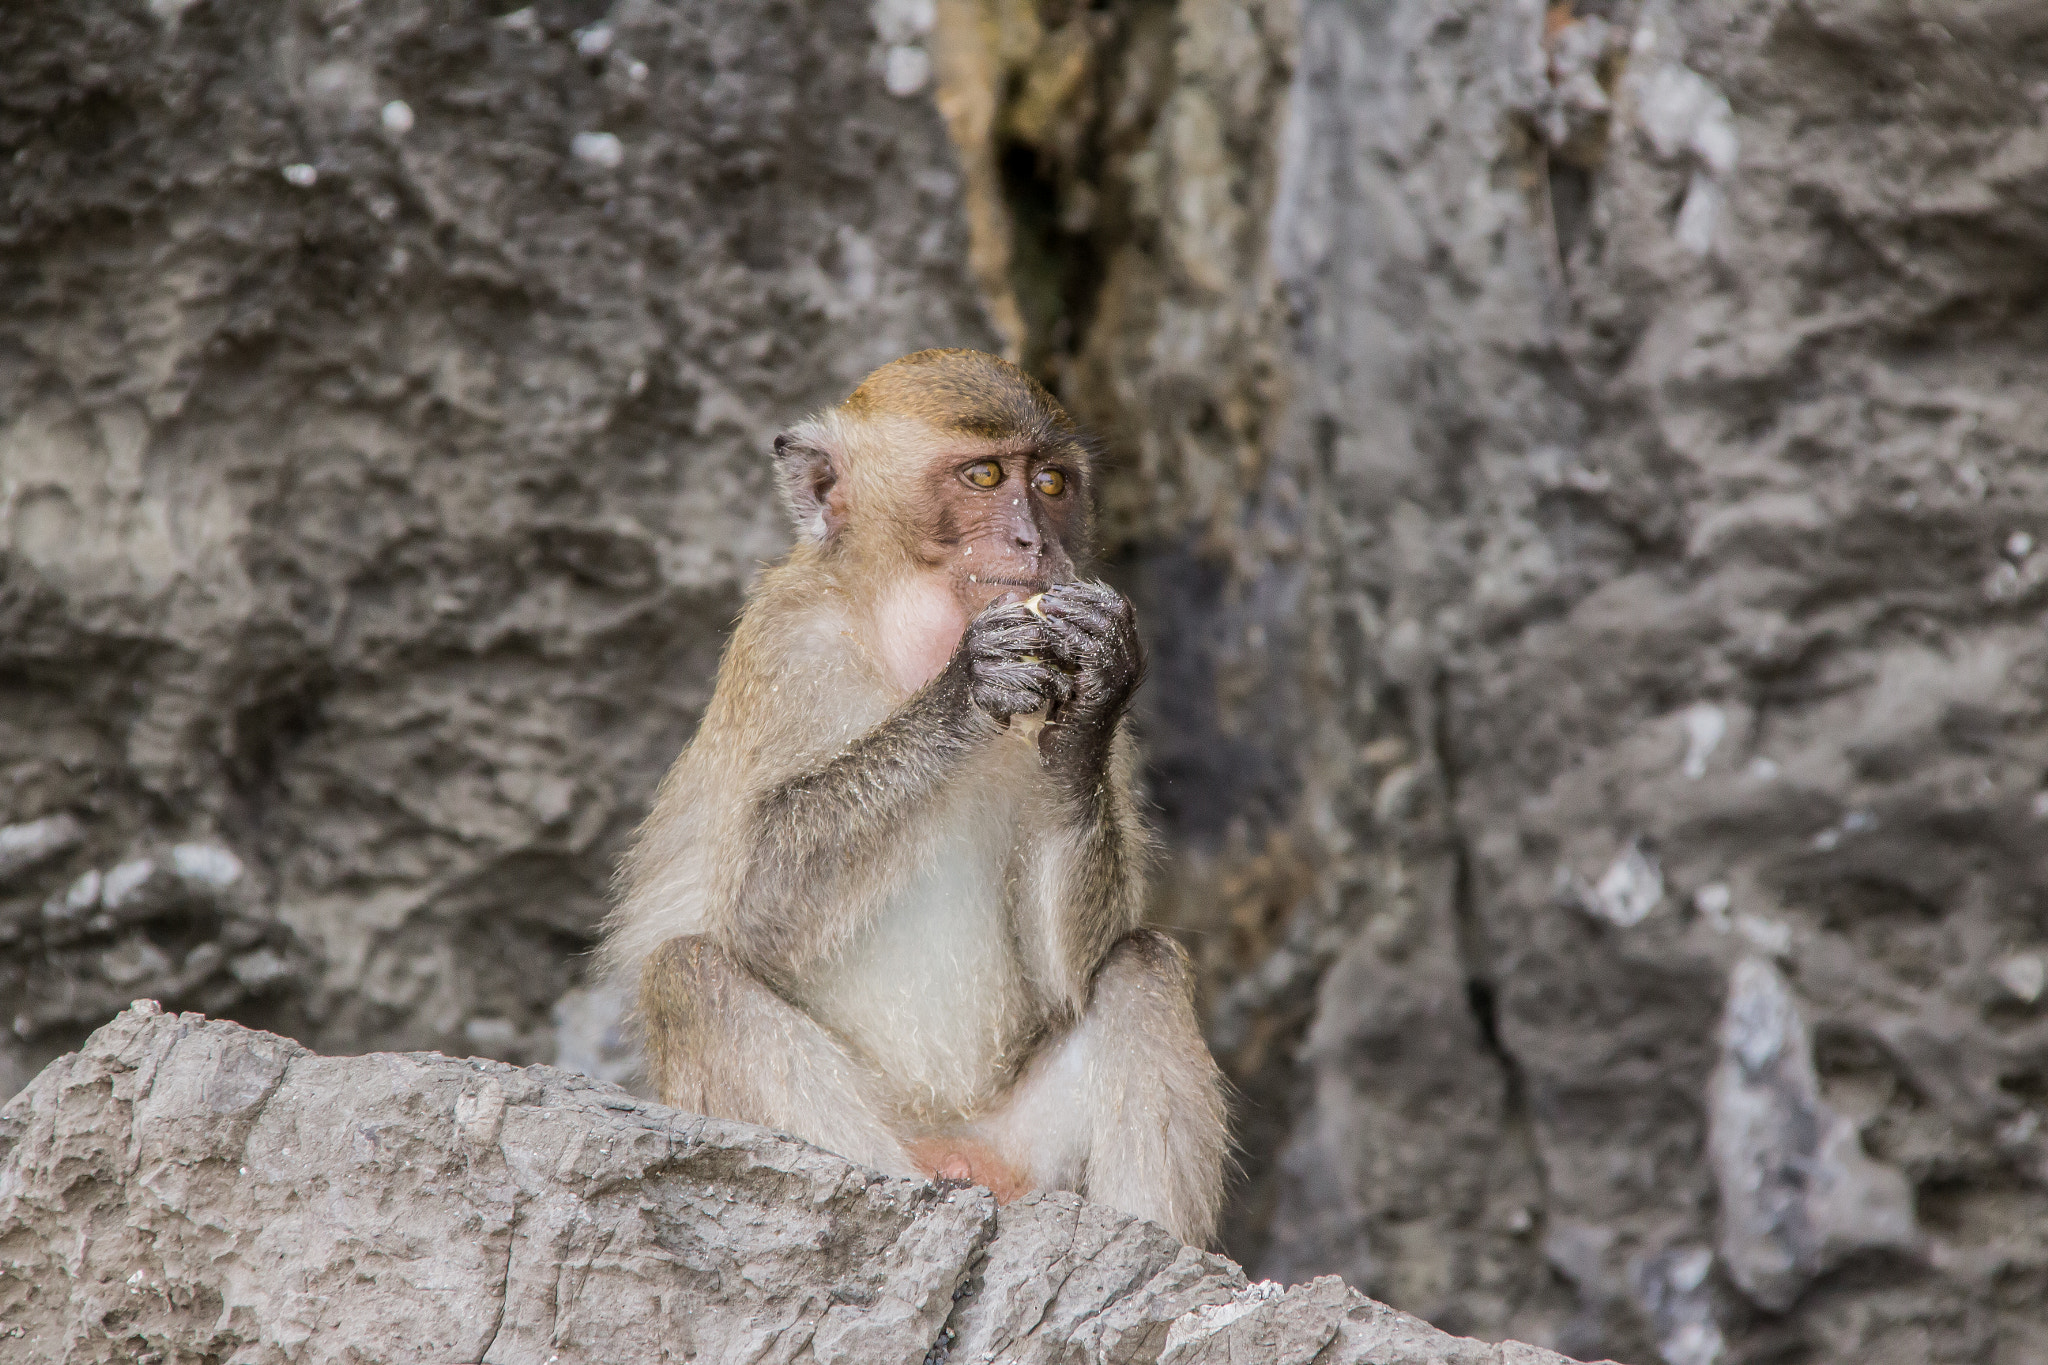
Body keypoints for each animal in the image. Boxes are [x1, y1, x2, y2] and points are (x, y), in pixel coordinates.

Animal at [601, 349, 1227, 1245]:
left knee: (1141, 966)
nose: (1035, 541)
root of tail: (955, 1147)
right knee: (690, 976)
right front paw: (969, 684)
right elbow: (757, 906)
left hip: (1018, 1152)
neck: (907, 648)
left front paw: (1095, 685)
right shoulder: (787, 646)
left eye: (1052, 483)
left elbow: (1067, 970)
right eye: (985, 475)